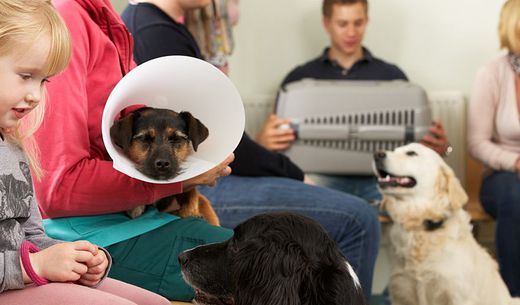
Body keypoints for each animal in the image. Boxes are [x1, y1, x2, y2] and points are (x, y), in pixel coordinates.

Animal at [374, 143, 520, 304]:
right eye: (394, 150)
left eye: (411, 153)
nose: (377, 154)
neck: (422, 228)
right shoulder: (401, 292)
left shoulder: (459, 296)